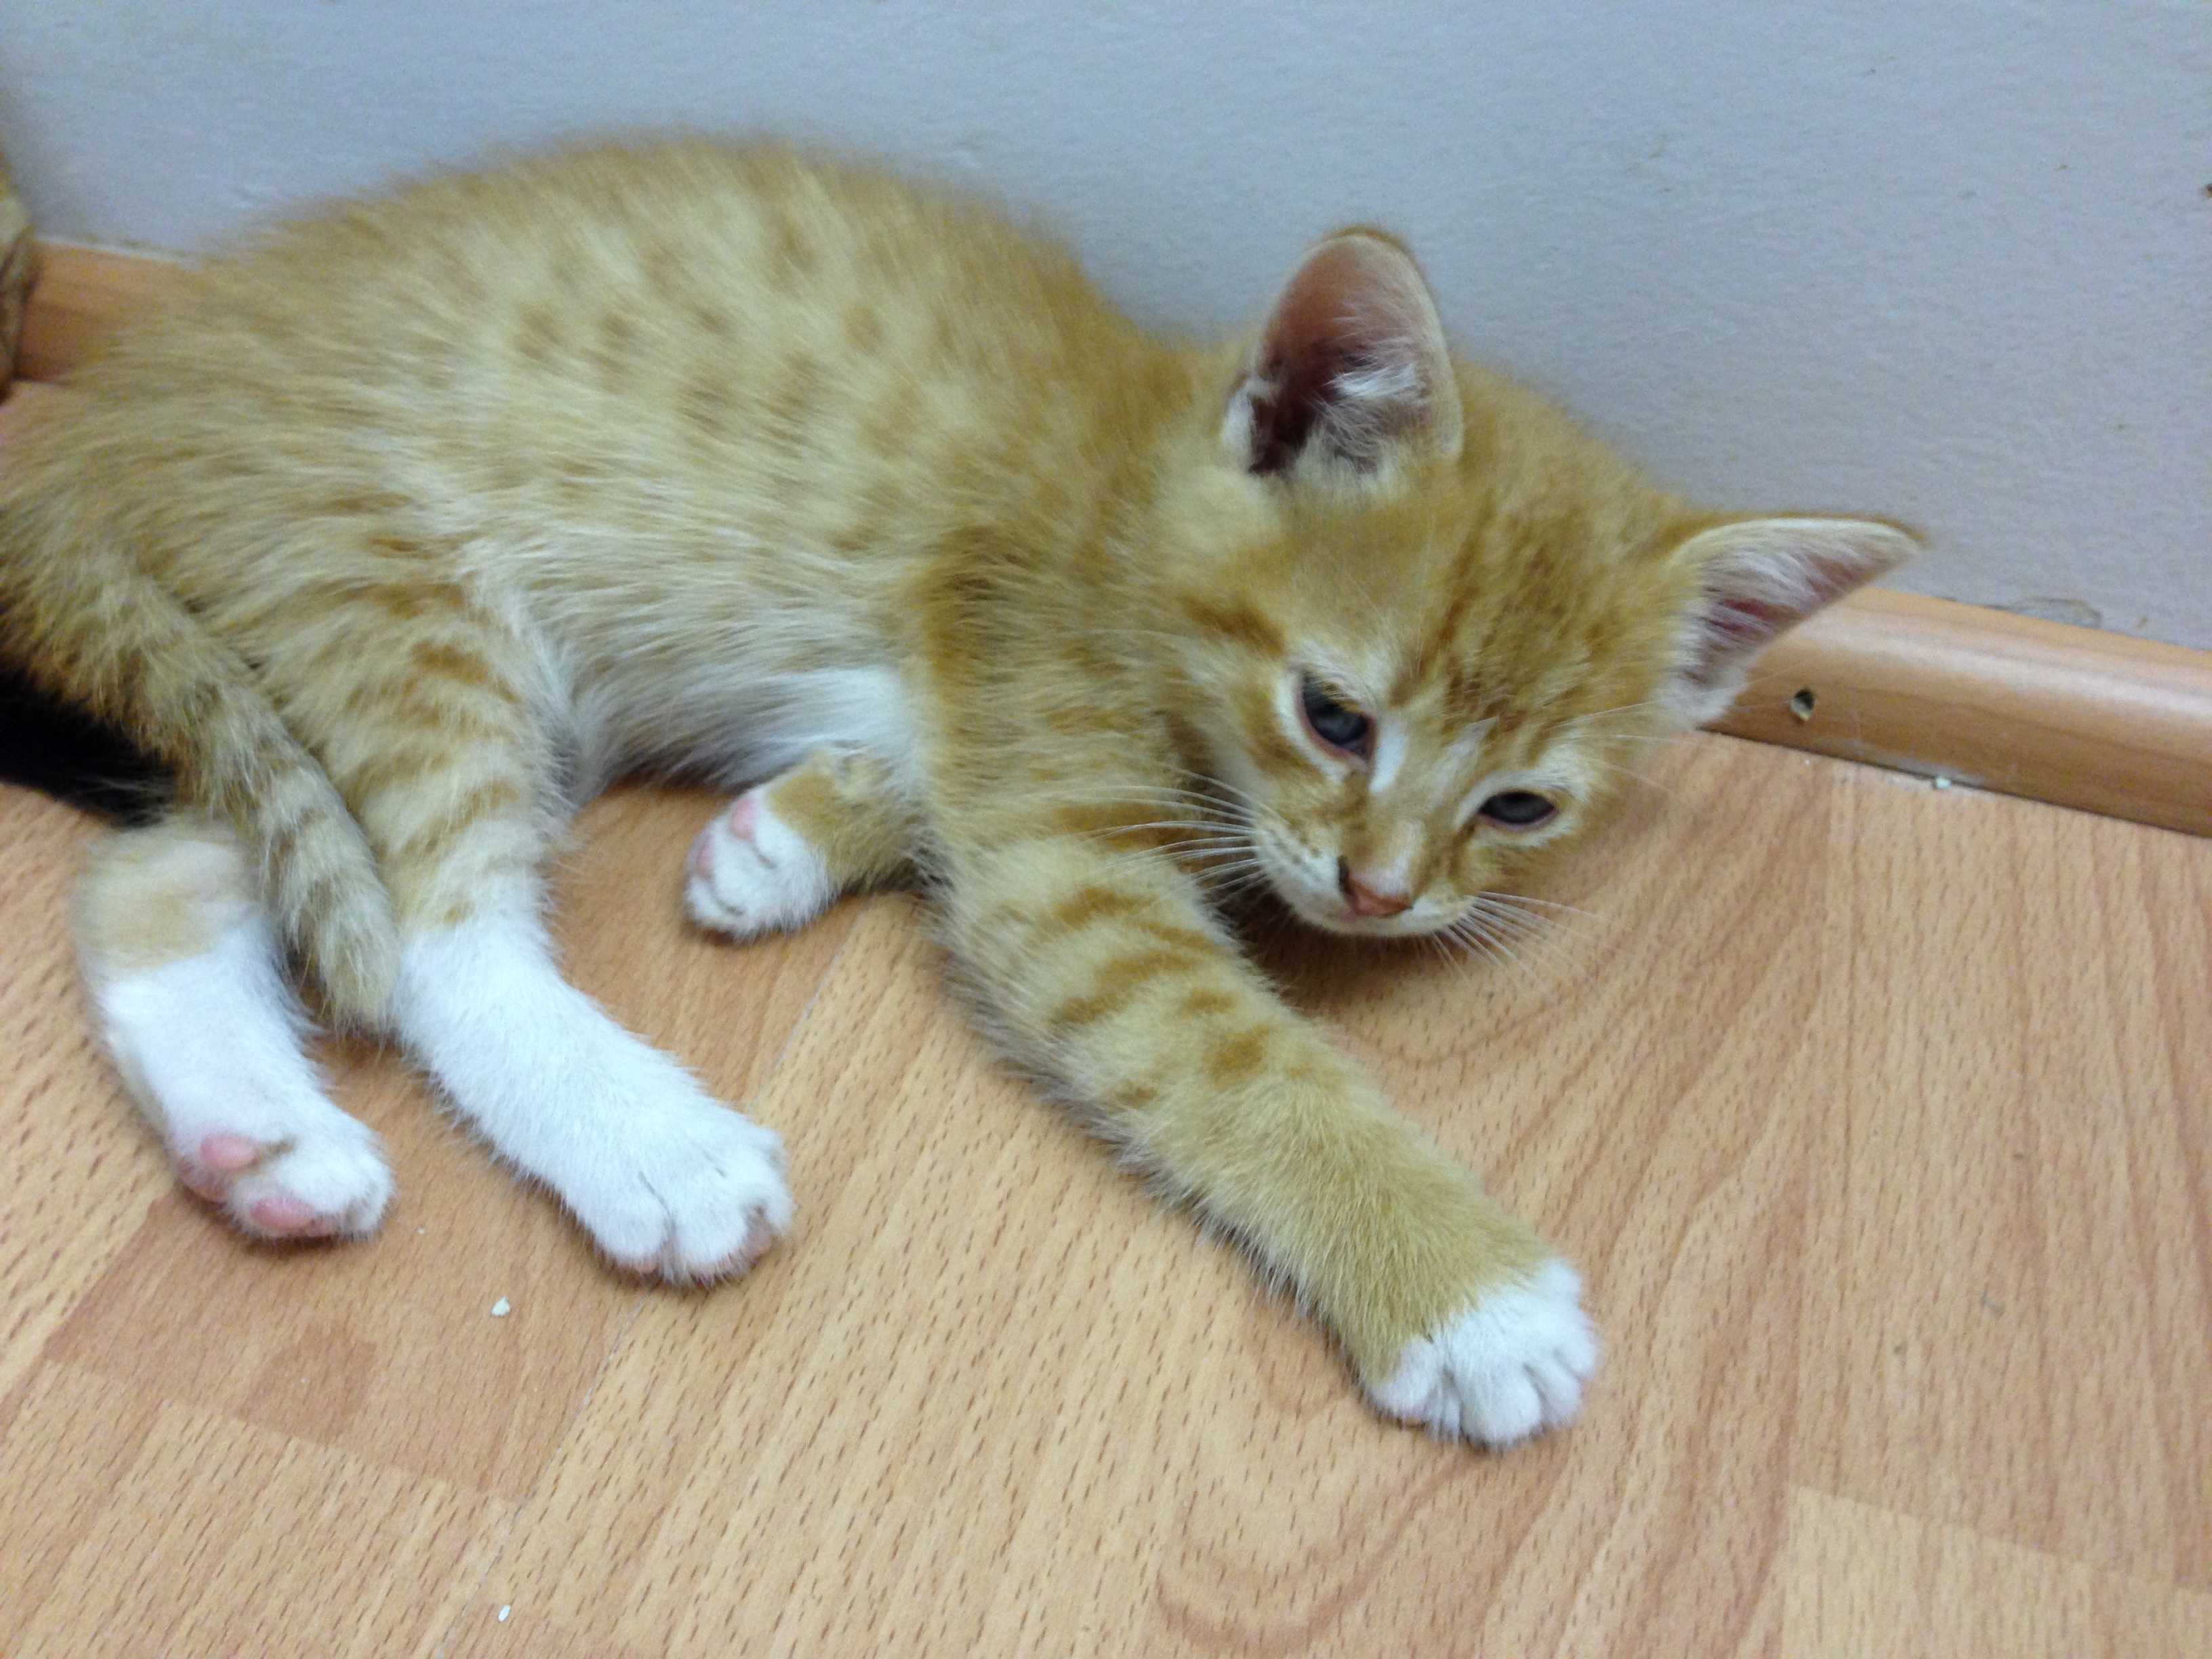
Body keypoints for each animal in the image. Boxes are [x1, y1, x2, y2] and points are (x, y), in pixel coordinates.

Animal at [0, 139, 1912, 1446]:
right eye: (1335, 715)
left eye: (1520, 809)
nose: (1378, 894)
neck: (1142, 498)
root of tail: (95, 414)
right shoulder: (1065, 844)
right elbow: (1233, 1056)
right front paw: (1466, 1287)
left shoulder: (977, 708)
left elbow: (919, 778)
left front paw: (788, 836)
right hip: (392, 591)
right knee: (428, 935)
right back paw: (648, 1136)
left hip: (283, 658)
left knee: (160, 876)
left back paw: (265, 1140)